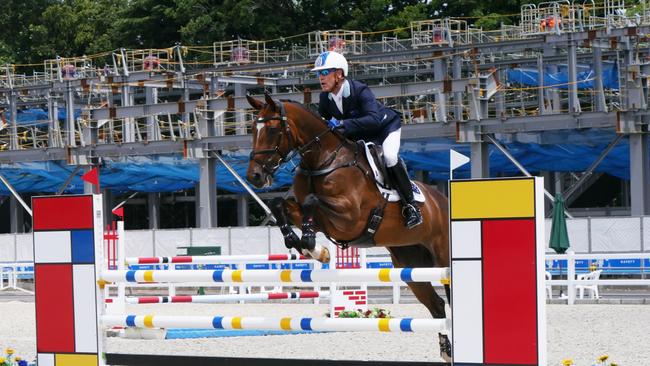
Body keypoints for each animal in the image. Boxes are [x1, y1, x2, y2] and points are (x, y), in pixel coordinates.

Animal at [244, 93, 450, 362]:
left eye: (271, 129)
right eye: (252, 128)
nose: (254, 176)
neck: (322, 160)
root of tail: (442, 200)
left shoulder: (351, 217)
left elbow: (312, 201)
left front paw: (311, 244)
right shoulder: (312, 213)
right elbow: (280, 204)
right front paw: (307, 246)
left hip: (443, 256)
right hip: (409, 263)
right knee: (437, 304)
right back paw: (447, 351)